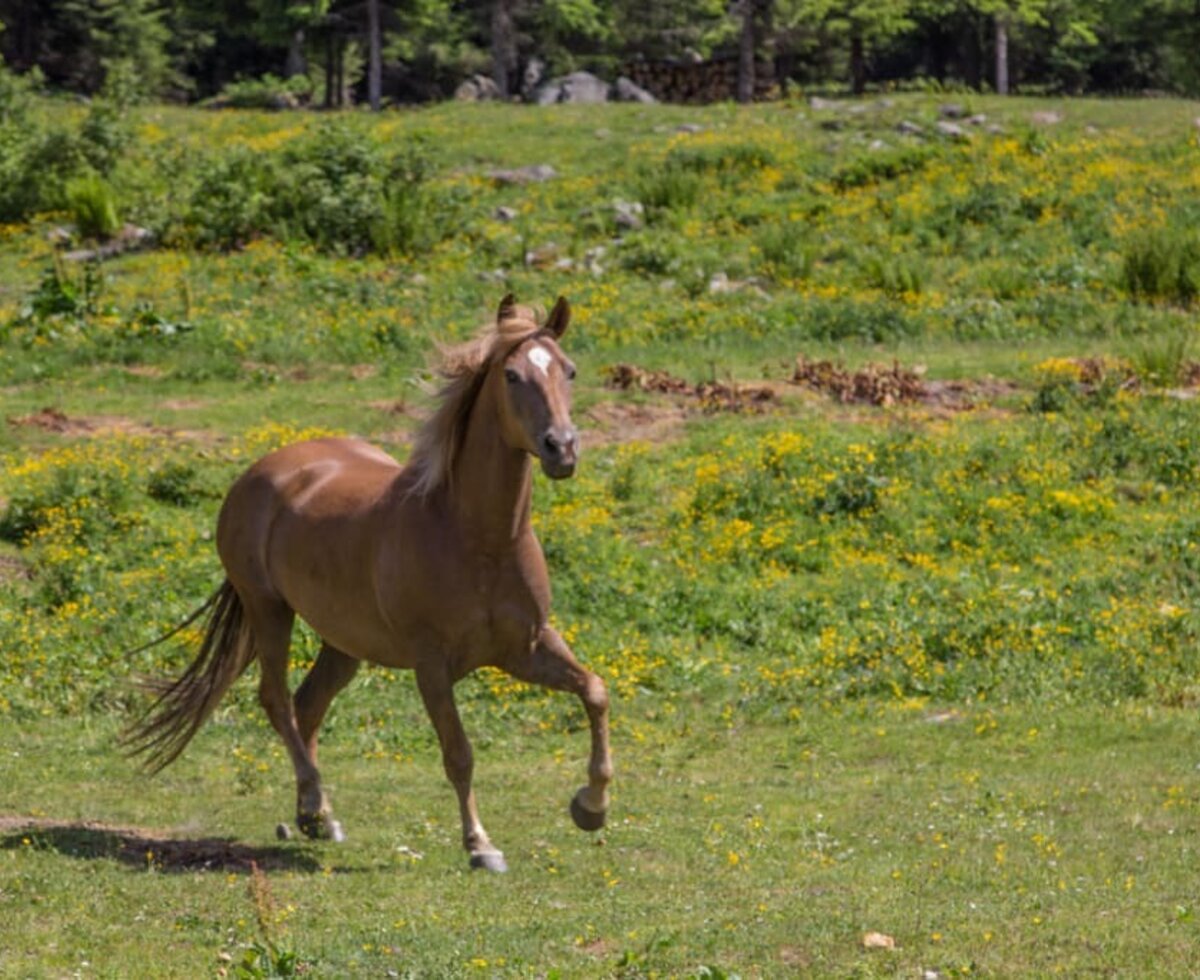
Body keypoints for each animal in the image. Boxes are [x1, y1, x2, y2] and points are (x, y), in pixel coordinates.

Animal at [124, 292, 609, 873]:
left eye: (569, 370)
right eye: (512, 375)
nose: (562, 448)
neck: (478, 538)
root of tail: (263, 469)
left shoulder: (526, 647)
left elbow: (596, 691)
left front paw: (591, 807)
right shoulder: (432, 665)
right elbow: (459, 753)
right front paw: (481, 845)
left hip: (344, 641)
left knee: (308, 705)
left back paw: (316, 817)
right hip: (269, 609)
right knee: (276, 700)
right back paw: (316, 804)